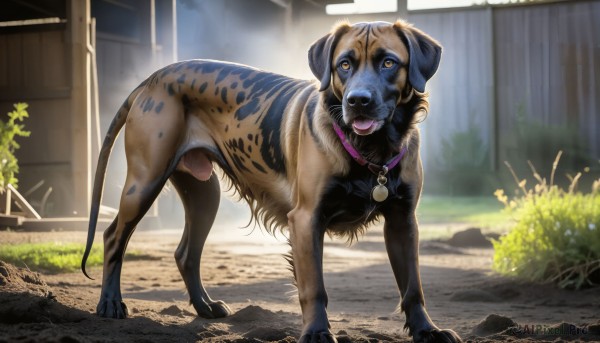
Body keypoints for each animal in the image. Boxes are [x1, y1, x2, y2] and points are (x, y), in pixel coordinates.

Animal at [82, 20, 462, 343]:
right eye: (344, 65)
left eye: (388, 63)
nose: (358, 101)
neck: (373, 150)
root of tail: (153, 78)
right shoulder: (306, 219)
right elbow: (314, 287)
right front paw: (316, 332)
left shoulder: (402, 221)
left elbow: (413, 287)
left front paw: (426, 330)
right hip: (145, 181)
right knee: (113, 237)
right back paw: (110, 303)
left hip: (204, 195)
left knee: (186, 253)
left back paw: (204, 307)